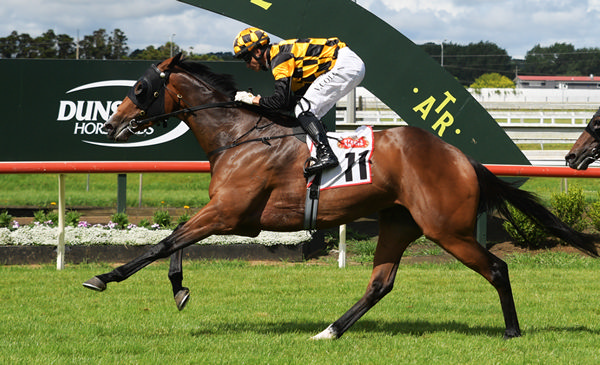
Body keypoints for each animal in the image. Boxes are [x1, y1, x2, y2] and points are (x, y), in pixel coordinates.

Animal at [83, 53, 596, 338]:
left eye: (139, 89)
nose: (110, 124)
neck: (239, 135)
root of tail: (461, 158)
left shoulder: (228, 212)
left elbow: (163, 242)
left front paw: (104, 277)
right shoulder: (229, 214)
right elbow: (175, 242)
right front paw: (179, 288)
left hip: (446, 229)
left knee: (497, 268)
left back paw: (512, 330)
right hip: (399, 222)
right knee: (380, 284)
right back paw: (329, 331)